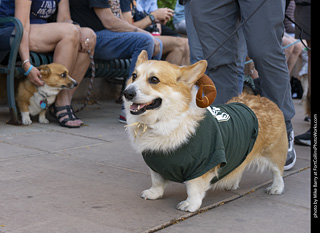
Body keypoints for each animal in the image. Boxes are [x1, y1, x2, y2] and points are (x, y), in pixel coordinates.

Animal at [123, 51, 288, 213]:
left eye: (154, 79)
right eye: (134, 76)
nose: (127, 93)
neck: (164, 122)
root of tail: (265, 100)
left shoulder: (202, 166)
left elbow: (193, 189)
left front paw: (190, 204)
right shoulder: (157, 166)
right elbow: (157, 182)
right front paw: (153, 193)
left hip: (274, 153)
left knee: (277, 172)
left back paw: (276, 188)